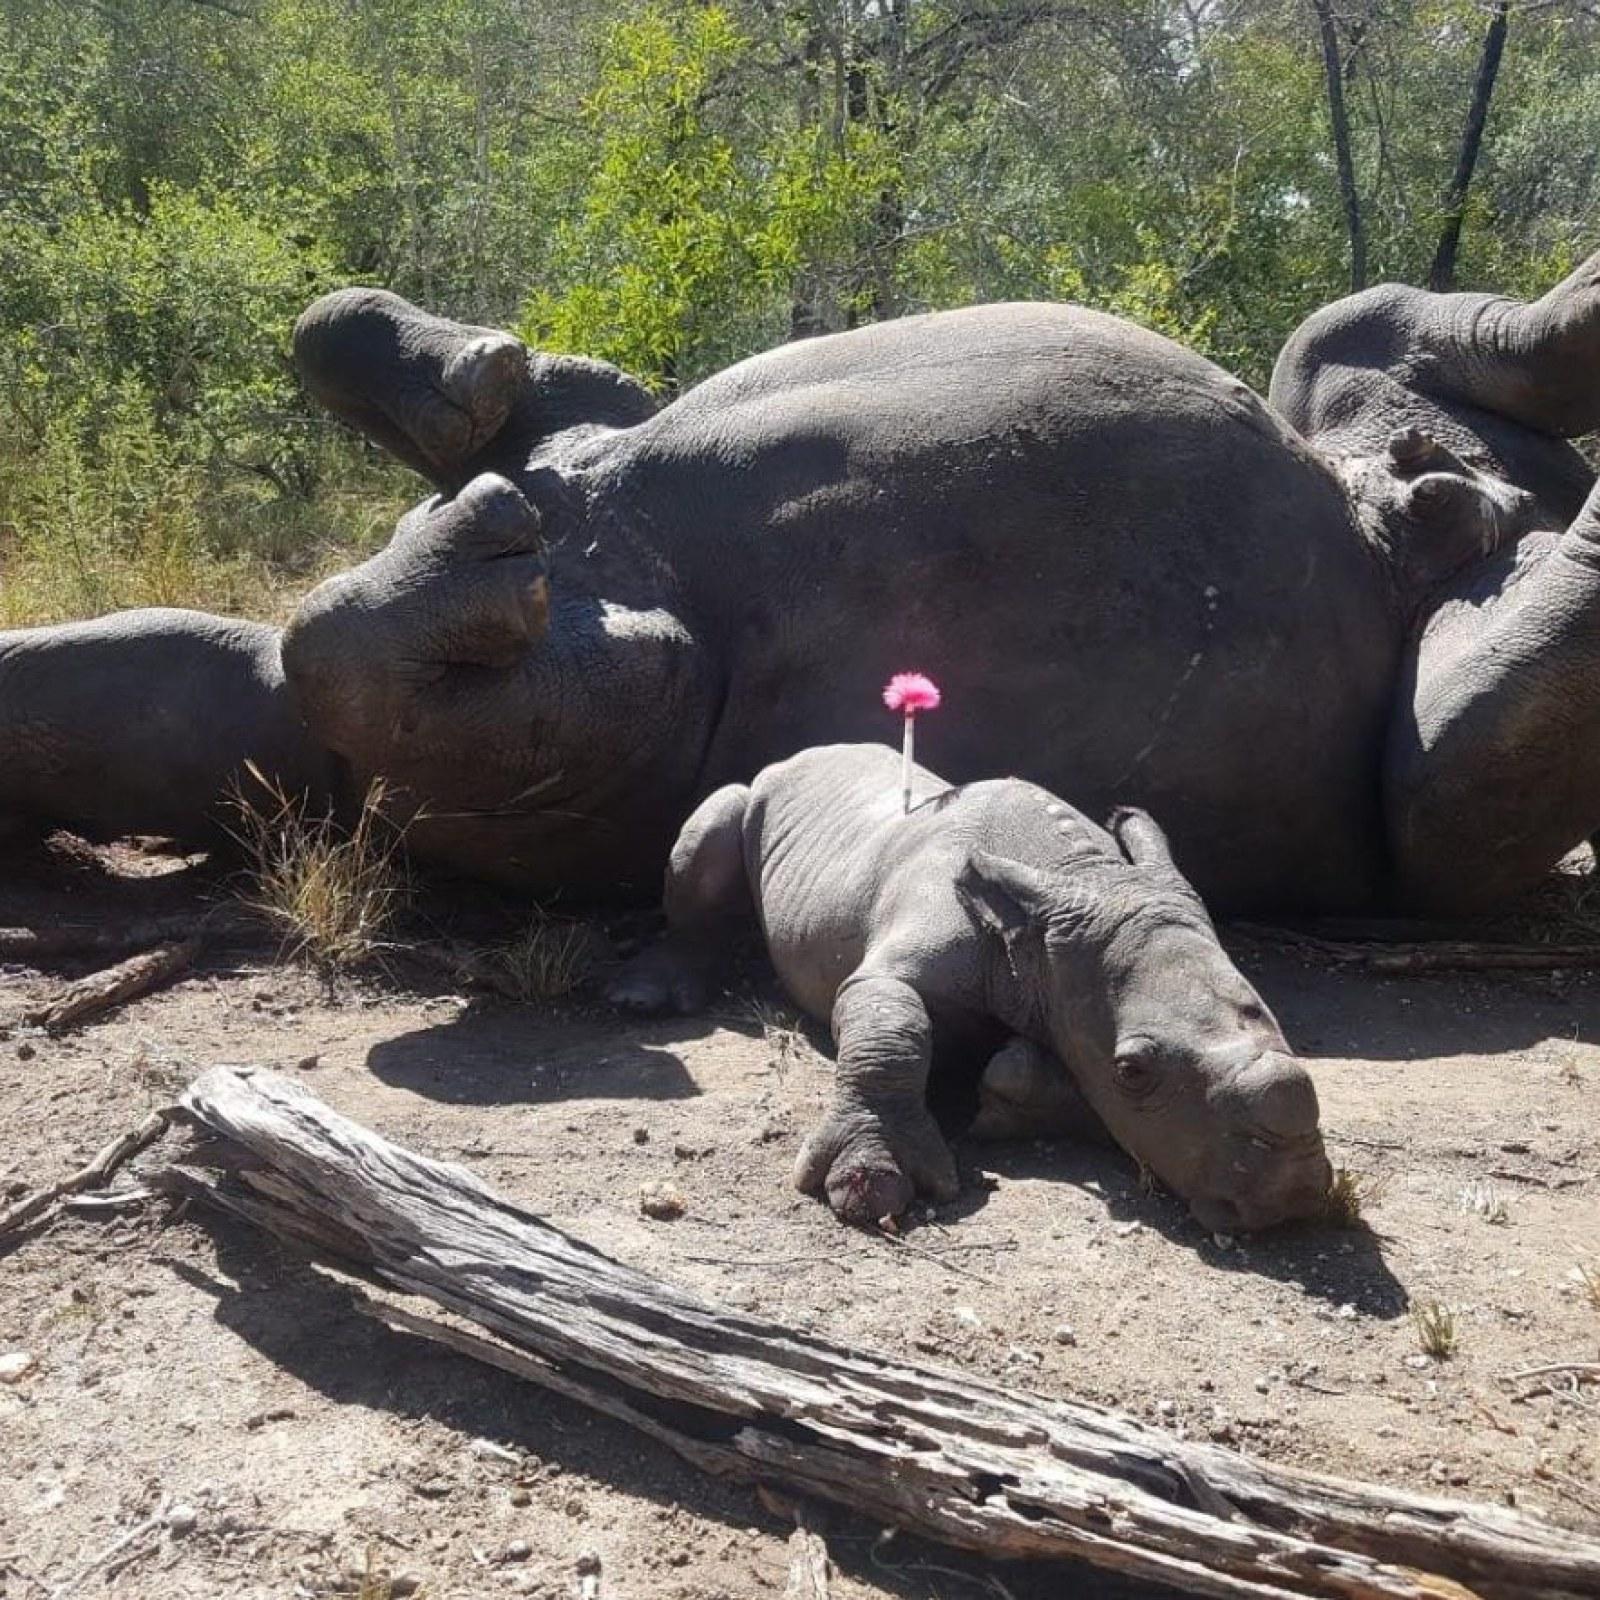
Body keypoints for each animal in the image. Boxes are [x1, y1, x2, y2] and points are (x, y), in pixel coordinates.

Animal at [610, 743, 1331, 1232]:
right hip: (755, 794)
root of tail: (795, 756)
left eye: (1273, 1021)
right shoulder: (899, 960)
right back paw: (645, 999)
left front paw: (1012, 1094)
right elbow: (893, 1024)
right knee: (714, 822)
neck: (1078, 882)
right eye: (1133, 1070)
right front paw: (871, 1186)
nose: (1289, 1197)